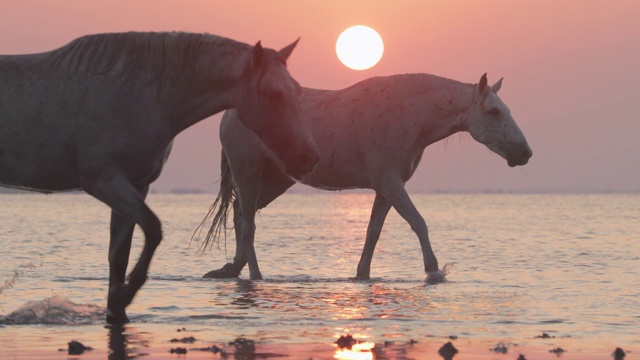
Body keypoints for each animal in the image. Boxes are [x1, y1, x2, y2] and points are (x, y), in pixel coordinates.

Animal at [0, 31, 320, 324]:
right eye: (273, 94)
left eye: (297, 91)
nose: (309, 157)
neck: (139, 94)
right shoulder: (105, 181)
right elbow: (153, 230)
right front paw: (124, 295)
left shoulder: (136, 186)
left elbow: (119, 255)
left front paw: (117, 309)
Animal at [199, 72, 528, 282]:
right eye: (493, 111)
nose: (525, 152)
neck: (412, 113)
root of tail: (231, 112)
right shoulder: (389, 182)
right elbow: (418, 222)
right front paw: (433, 270)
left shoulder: (386, 187)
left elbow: (373, 232)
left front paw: (362, 274)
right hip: (248, 172)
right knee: (247, 224)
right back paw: (256, 275)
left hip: (274, 180)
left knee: (240, 212)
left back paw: (234, 268)